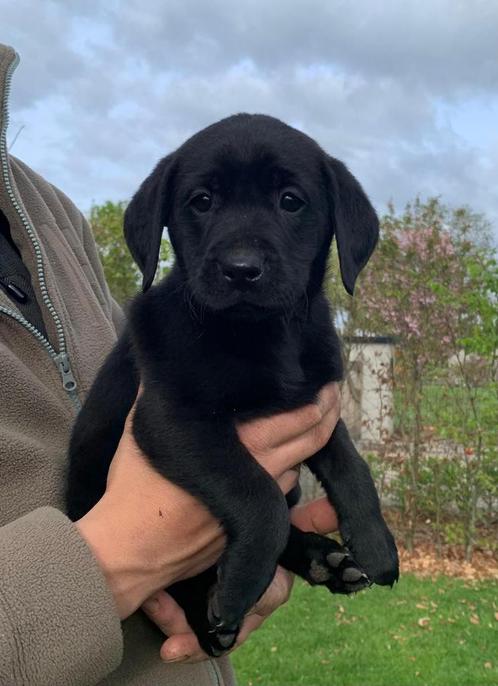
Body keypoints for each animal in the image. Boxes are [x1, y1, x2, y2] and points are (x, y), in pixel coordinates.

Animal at [67, 115, 400, 660]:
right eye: (202, 200)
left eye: (291, 200)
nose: (241, 269)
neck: (259, 336)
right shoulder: (172, 419)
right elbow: (260, 496)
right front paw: (240, 584)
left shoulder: (317, 405)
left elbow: (353, 467)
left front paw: (375, 542)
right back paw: (215, 619)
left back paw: (327, 561)